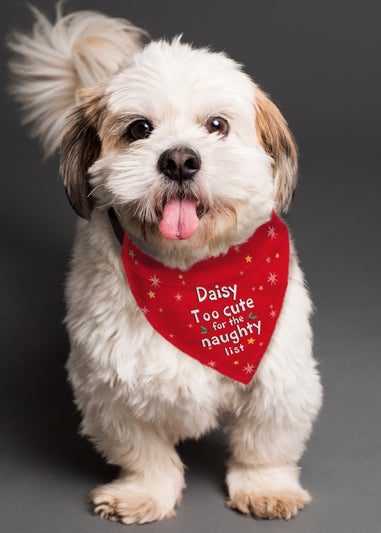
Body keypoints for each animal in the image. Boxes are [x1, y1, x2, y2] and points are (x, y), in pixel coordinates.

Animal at [8, 6, 320, 524]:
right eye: (139, 129)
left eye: (216, 125)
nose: (179, 159)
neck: (190, 272)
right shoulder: (109, 387)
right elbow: (144, 452)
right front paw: (144, 493)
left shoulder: (279, 376)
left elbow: (265, 444)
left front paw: (266, 487)